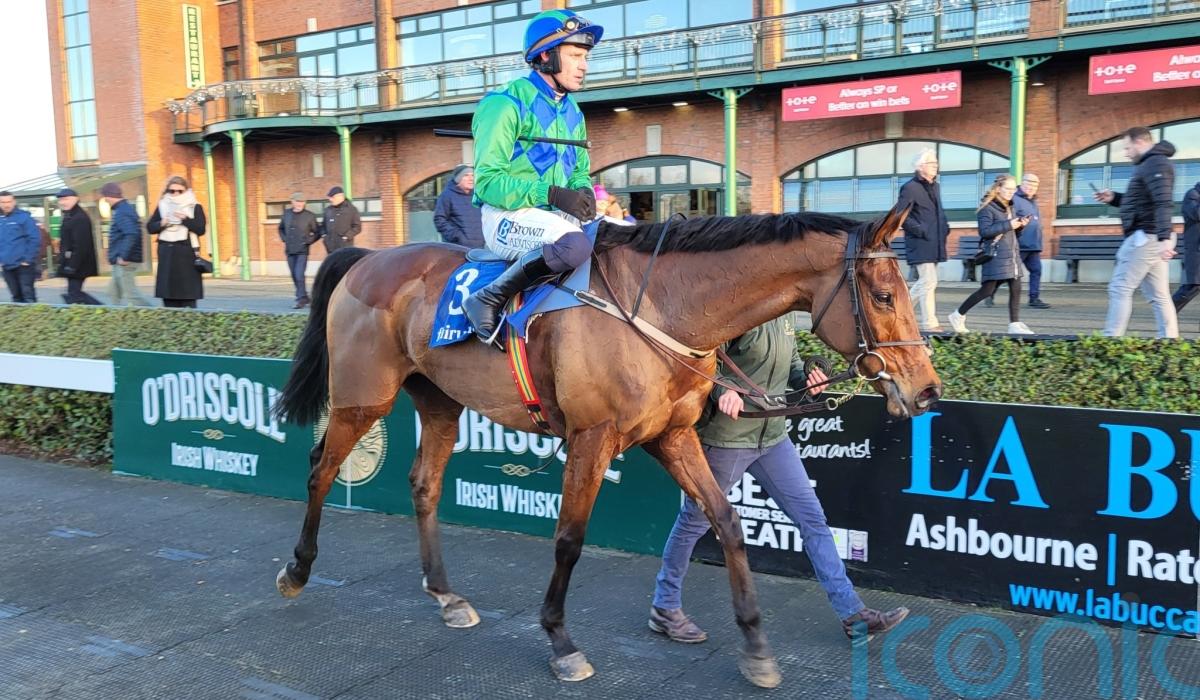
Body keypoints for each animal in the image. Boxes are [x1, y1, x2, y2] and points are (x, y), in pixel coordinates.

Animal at [272, 203, 942, 689]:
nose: (928, 390)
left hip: (438, 400)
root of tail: (365, 259)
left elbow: (725, 521)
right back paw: (298, 570)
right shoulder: (592, 439)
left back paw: (446, 594)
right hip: (363, 397)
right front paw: (560, 640)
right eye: (884, 295)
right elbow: (569, 539)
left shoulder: (671, 436)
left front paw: (755, 644)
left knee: (425, 483)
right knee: (320, 469)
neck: (664, 309)